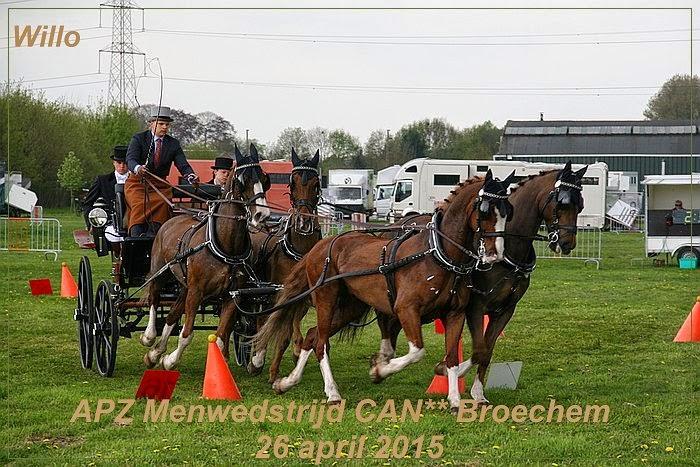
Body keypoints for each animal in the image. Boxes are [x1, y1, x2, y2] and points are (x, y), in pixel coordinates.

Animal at [139, 143, 270, 370]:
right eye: (242, 180)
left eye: (264, 178)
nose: (262, 215)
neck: (226, 247)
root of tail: (172, 218)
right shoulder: (197, 291)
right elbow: (186, 334)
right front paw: (171, 360)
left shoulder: (232, 296)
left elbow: (220, 337)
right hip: (160, 271)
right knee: (154, 298)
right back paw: (149, 337)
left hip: (185, 285)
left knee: (172, 315)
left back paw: (155, 353)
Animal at [242, 148, 322, 378]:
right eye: (292, 183)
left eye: (316, 184)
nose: (304, 222)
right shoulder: (279, 294)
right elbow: (280, 330)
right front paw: (269, 368)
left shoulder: (302, 296)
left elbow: (290, 328)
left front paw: (294, 352)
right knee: (260, 321)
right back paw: (256, 358)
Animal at [256, 170, 516, 404]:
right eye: (485, 210)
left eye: (508, 212)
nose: (496, 254)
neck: (438, 254)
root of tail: (318, 247)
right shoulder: (406, 310)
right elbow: (416, 351)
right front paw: (379, 370)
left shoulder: (455, 314)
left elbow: (452, 357)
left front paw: (454, 399)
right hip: (325, 299)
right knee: (320, 343)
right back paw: (332, 393)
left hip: (351, 306)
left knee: (311, 336)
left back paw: (287, 382)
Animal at [378, 161, 592, 410]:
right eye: (562, 203)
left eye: (581, 204)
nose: (567, 244)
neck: (507, 249)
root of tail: (398, 223)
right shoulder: (476, 306)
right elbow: (479, 349)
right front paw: (448, 371)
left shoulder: (505, 310)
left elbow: (487, 350)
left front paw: (478, 392)